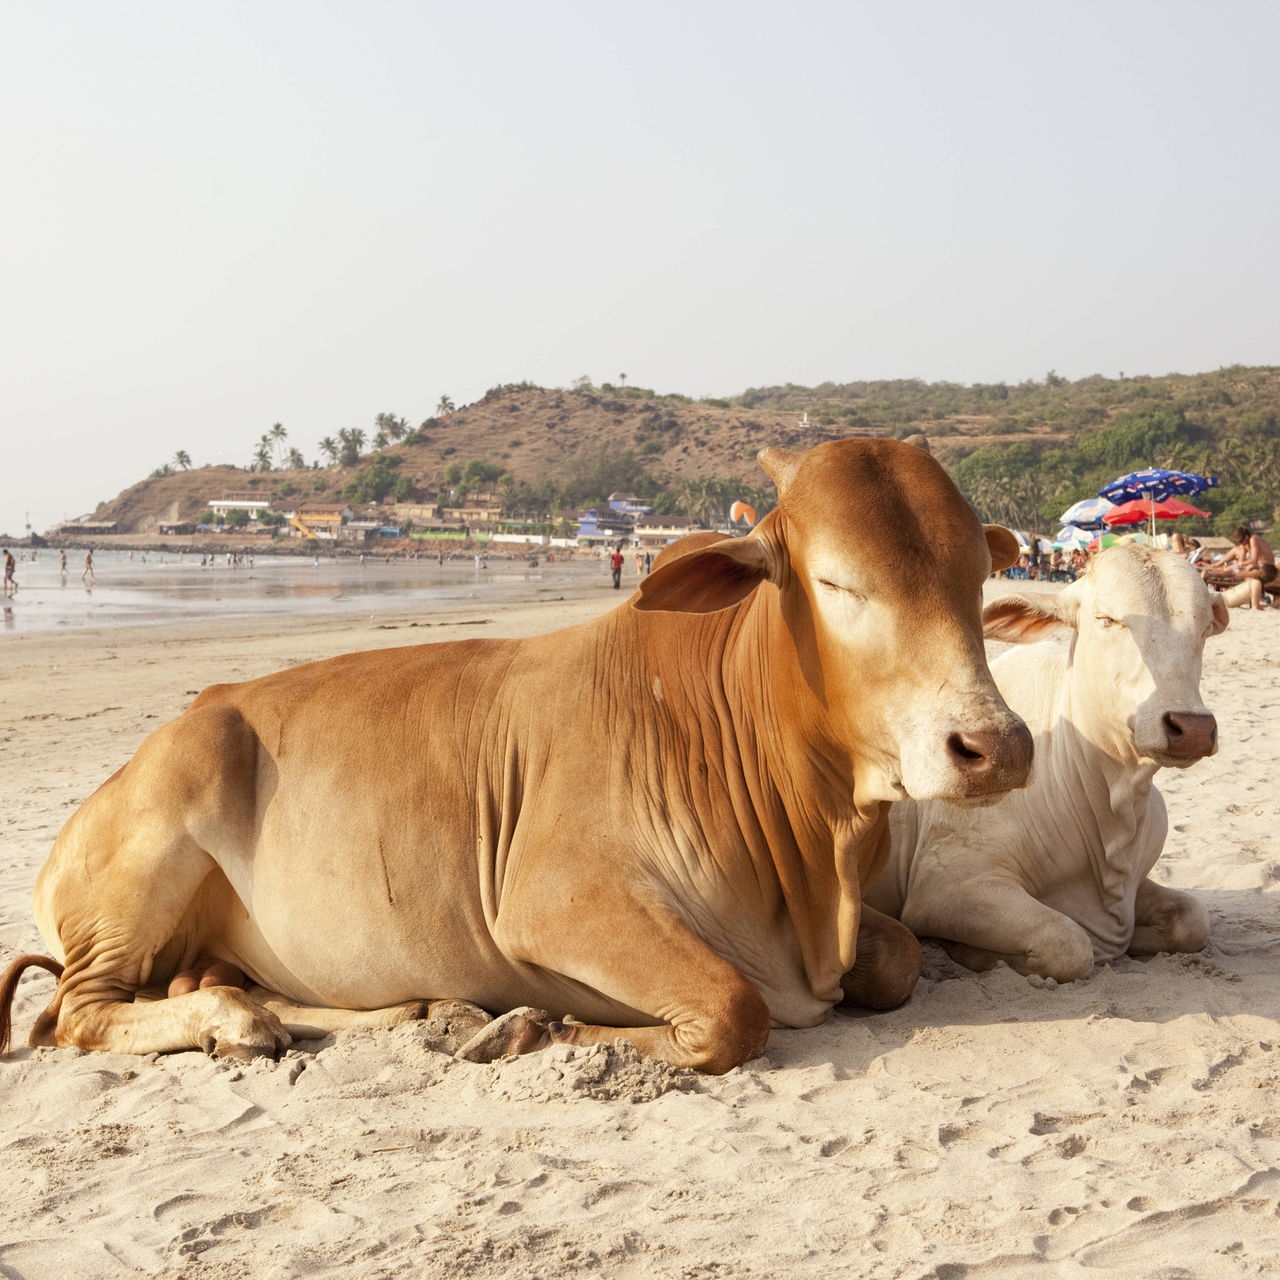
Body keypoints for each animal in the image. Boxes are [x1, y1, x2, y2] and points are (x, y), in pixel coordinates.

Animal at [0, 440, 1034, 1070]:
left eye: (976, 576)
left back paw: (405, 1011)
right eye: (836, 583)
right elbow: (734, 1011)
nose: (994, 747)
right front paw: (541, 1027)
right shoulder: (554, 903)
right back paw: (242, 1022)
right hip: (151, 849)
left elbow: (899, 958)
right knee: (74, 1014)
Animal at [865, 542, 1223, 977]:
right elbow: (1068, 943)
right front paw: (969, 951)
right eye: (1107, 619)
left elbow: (1193, 920)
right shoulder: (946, 886)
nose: (1193, 727)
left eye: (1205, 627)